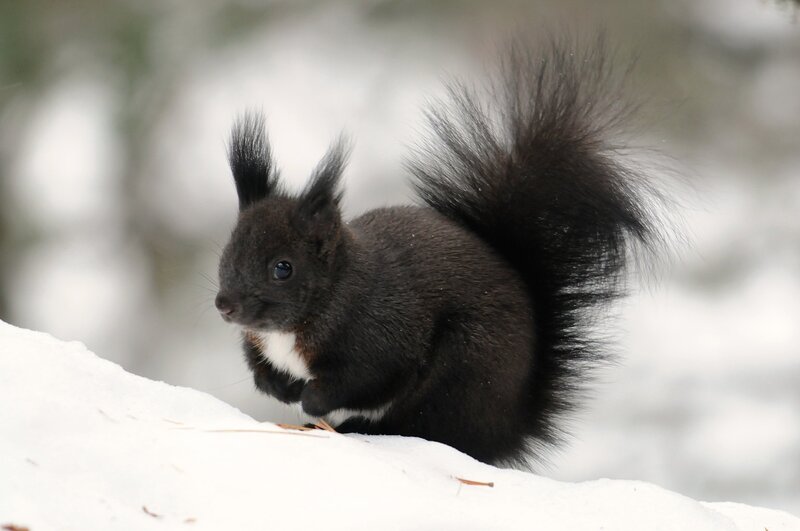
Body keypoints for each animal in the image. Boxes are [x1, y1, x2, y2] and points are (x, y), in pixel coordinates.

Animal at [214, 38, 661, 465]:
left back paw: (361, 427)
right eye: (227, 253)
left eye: (282, 268)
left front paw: (311, 398)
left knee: (428, 427)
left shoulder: (382, 337)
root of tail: (510, 427)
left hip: (461, 372)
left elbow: (363, 381)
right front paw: (281, 388)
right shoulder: (260, 345)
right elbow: (261, 372)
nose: (225, 305)